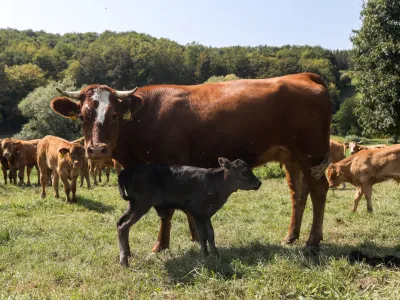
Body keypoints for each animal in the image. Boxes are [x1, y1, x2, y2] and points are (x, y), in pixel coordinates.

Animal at [50, 72, 332, 248]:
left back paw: (312, 241)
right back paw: (290, 237)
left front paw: (161, 245)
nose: (97, 149)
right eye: (83, 116)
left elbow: (167, 211)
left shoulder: (166, 168)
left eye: (115, 116)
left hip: (311, 153)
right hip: (291, 158)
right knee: (298, 194)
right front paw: (196, 237)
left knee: (319, 190)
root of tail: (302, 75)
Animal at [117, 158, 260, 266]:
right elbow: (202, 235)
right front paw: (204, 256)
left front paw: (216, 254)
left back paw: (128, 254)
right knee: (122, 225)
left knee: (123, 224)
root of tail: (126, 171)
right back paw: (124, 261)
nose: (259, 182)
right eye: (245, 172)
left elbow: (211, 234)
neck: (214, 182)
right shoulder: (198, 213)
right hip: (139, 205)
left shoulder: (207, 214)